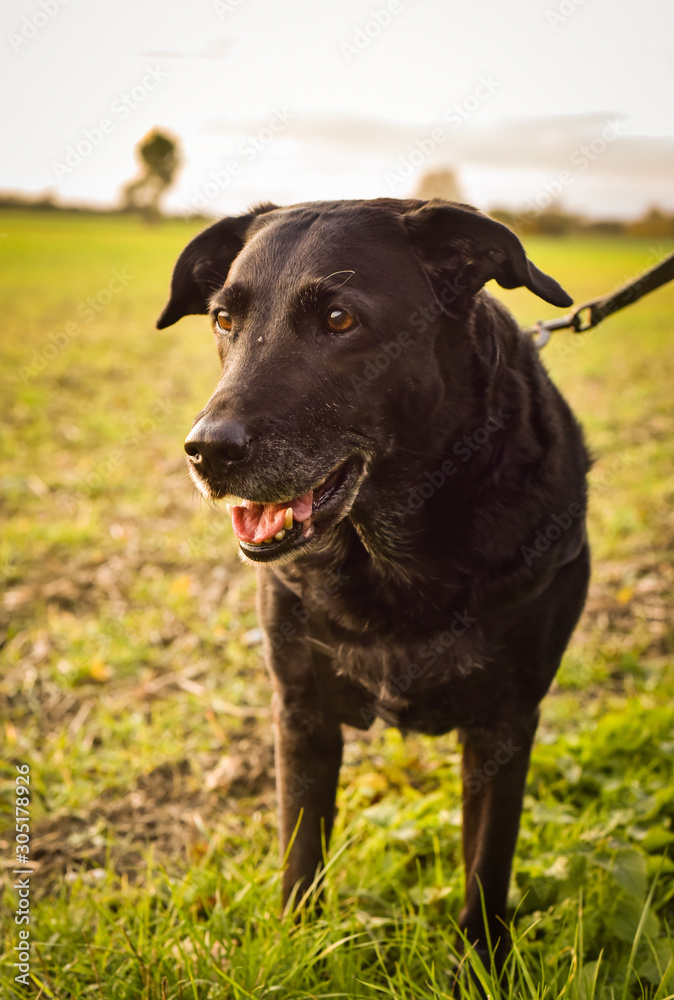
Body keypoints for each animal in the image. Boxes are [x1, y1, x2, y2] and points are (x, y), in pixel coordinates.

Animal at [158, 199, 588, 964]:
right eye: (224, 319)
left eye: (339, 320)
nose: (206, 451)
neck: (390, 551)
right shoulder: (300, 711)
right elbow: (301, 853)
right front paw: (296, 955)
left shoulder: (506, 724)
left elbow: (487, 868)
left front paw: (479, 968)